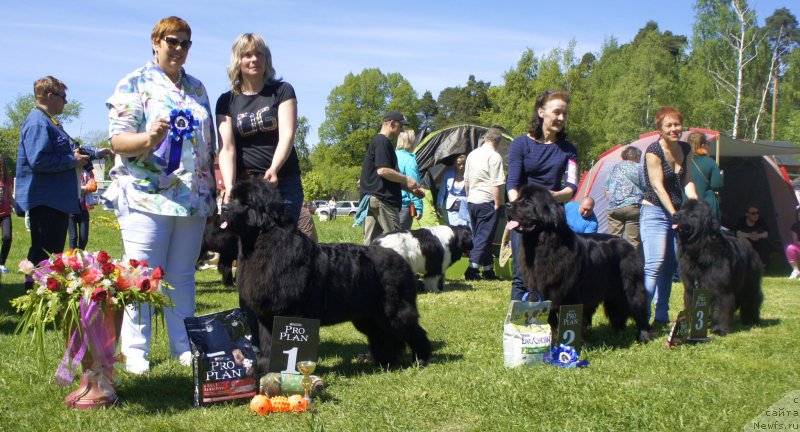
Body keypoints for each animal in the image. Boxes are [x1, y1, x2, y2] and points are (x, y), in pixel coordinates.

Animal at [219, 179, 432, 372]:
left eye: (246, 202)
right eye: (232, 197)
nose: (223, 207)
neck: (264, 242)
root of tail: (399, 257)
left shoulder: (288, 312)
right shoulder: (265, 315)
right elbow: (267, 342)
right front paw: (266, 369)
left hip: (393, 309)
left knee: (412, 331)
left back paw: (421, 359)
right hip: (367, 316)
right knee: (383, 336)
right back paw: (382, 361)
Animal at [510, 184, 652, 342]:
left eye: (528, 202)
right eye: (518, 198)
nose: (508, 204)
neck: (544, 245)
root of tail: (628, 244)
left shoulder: (569, 294)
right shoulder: (543, 292)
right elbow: (551, 321)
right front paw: (553, 342)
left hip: (630, 286)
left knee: (638, 308)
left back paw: (643, 336)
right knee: (617, 311)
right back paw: (617, 334)